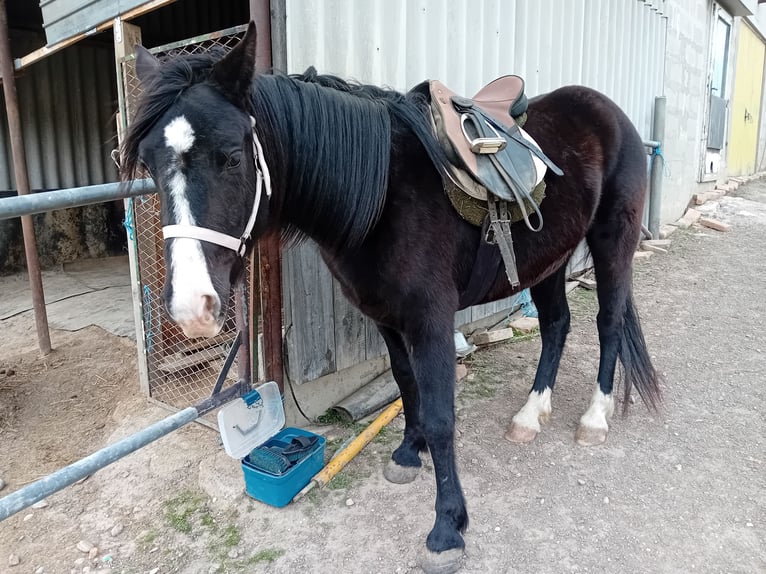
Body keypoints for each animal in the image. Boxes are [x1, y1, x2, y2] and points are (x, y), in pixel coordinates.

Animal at [120, 24, 660, 574]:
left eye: (231, 157)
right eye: (149, 166)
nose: (193, 307)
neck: (383, 194)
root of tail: (608, 111)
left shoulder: (432, 320)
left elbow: (442, 415)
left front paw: (447, 528)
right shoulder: (385, 317)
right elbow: (406, 385)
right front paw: (407, 453)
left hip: (612, 243)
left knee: (608, 322)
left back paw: (595, 417)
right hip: (547, 259)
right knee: (556, 325)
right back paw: (530, 415)